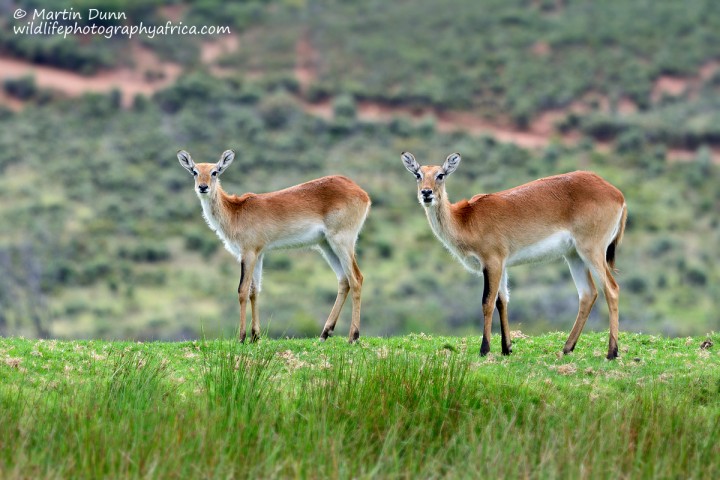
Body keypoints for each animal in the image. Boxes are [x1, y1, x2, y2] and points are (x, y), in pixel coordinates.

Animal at [178, 149, 372, 342]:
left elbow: (242, 290)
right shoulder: (259, 254)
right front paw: (255, 336)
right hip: (326, 245)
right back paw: (325, 334)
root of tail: (362, 192)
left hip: (342, 241)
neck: (235, 212)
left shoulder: (248, 253)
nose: (203, 187)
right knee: (344, 280)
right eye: (194, 171)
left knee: (356, 278)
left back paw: (353, 337)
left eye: (215, 172)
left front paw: (242, 337)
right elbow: (255, 291)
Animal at [402, 152, 628, 358]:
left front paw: (485, 349)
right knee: (588, 293)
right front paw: (506, 348)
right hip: (574, 255)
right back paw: (567, 348)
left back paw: (612, 352)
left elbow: (487, 302)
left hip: (592, 250)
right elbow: (502, 301)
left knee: (611, 289)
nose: (427, 193)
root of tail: (618, 195)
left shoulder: (492, 262)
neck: (465, 219)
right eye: (418, 174)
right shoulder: (502, 265)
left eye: (440, 175)